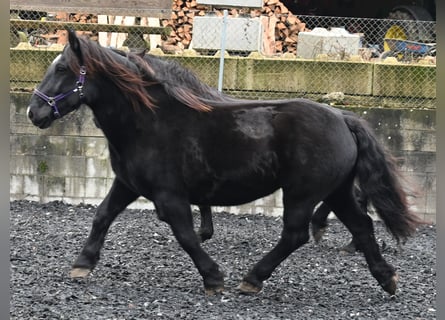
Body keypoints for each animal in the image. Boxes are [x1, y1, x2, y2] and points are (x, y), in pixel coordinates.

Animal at [26, 29, 422, 296]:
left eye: (62, 69)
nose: (34, 112)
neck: (147, 121)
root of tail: (342, 117)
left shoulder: (170, 195)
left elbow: (186, 235)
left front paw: (213, 277)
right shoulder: (127, 184)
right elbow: (102, 216)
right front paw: (82, 265)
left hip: (303, 193)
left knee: (295, 234)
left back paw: (253, 278)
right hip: (336, 191)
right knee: (362, 227)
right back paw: (387, 278)